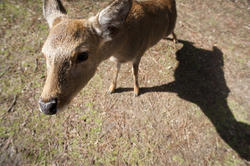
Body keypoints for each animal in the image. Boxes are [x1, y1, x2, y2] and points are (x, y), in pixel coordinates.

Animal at [39, 0, 177, 114]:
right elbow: (116, 70)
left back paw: (175, 40)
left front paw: (136, 91)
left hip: (170, 26)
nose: (47, 106)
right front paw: (111, 88)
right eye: (44, 53)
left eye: (83, 55)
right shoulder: (117, 60)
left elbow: (135, 73)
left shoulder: (138, 54)